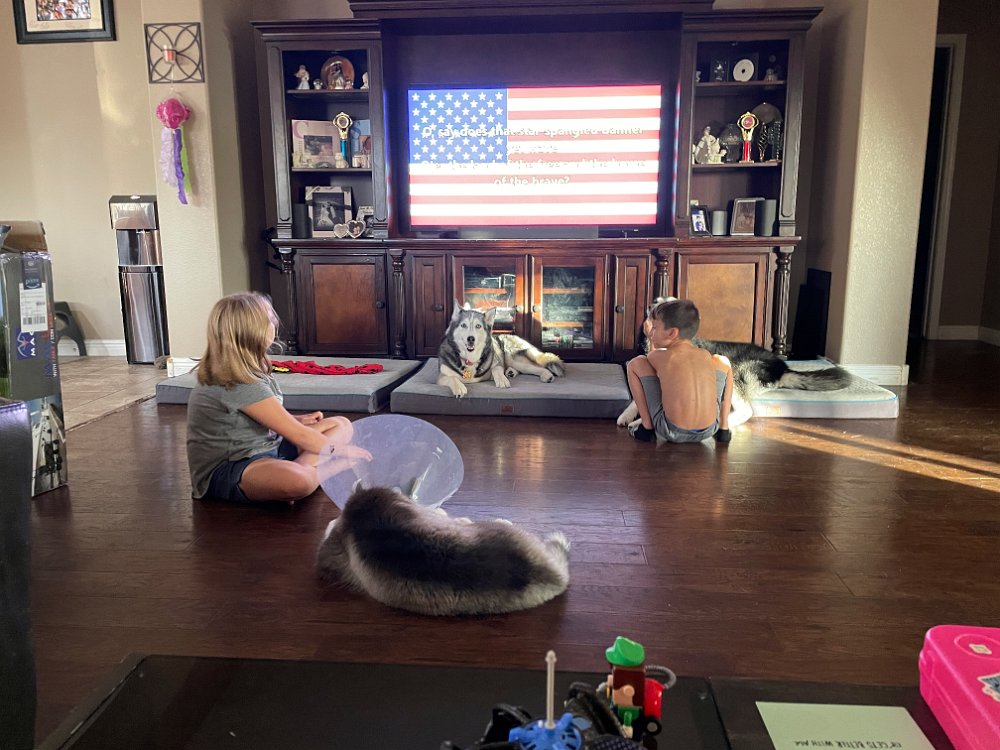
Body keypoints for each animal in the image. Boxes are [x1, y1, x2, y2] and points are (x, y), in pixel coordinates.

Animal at [616, 298, 851, 428]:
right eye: (657, 300)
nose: (650, 306)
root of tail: (783, 367)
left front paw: (639, 422)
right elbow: (635, 401)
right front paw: (627, 415)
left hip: (736, 371)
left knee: (747, 411)